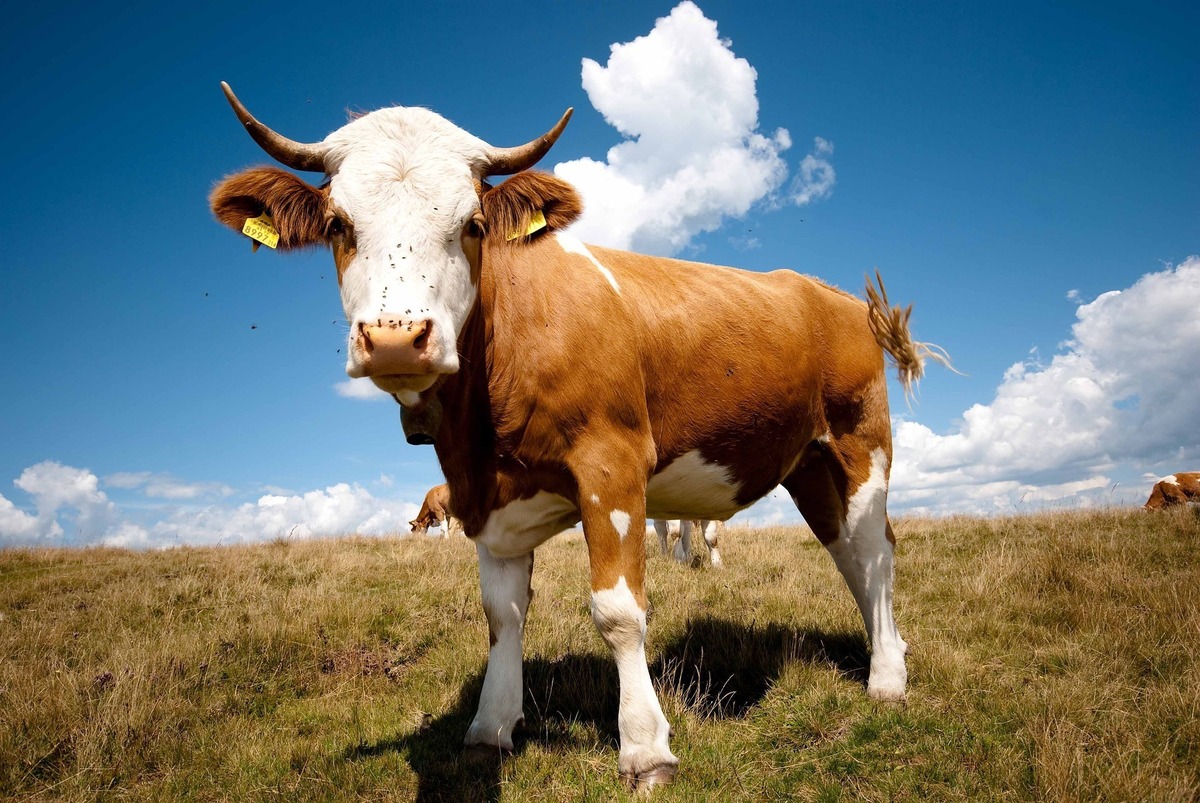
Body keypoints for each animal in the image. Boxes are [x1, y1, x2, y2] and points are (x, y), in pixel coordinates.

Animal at [213, 82, 945, 787]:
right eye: (338, 224)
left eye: (473, 225)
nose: (396, 337)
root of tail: (834, 294)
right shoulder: (487, 501)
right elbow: (502, 616)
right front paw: (491, 729)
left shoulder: (612, 466)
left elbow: (618, 612)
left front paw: (646, 749)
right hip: (808, 464)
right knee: (848, 553)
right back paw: (887, 651)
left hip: (860, 442)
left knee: (875, 551)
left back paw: (887, 677)